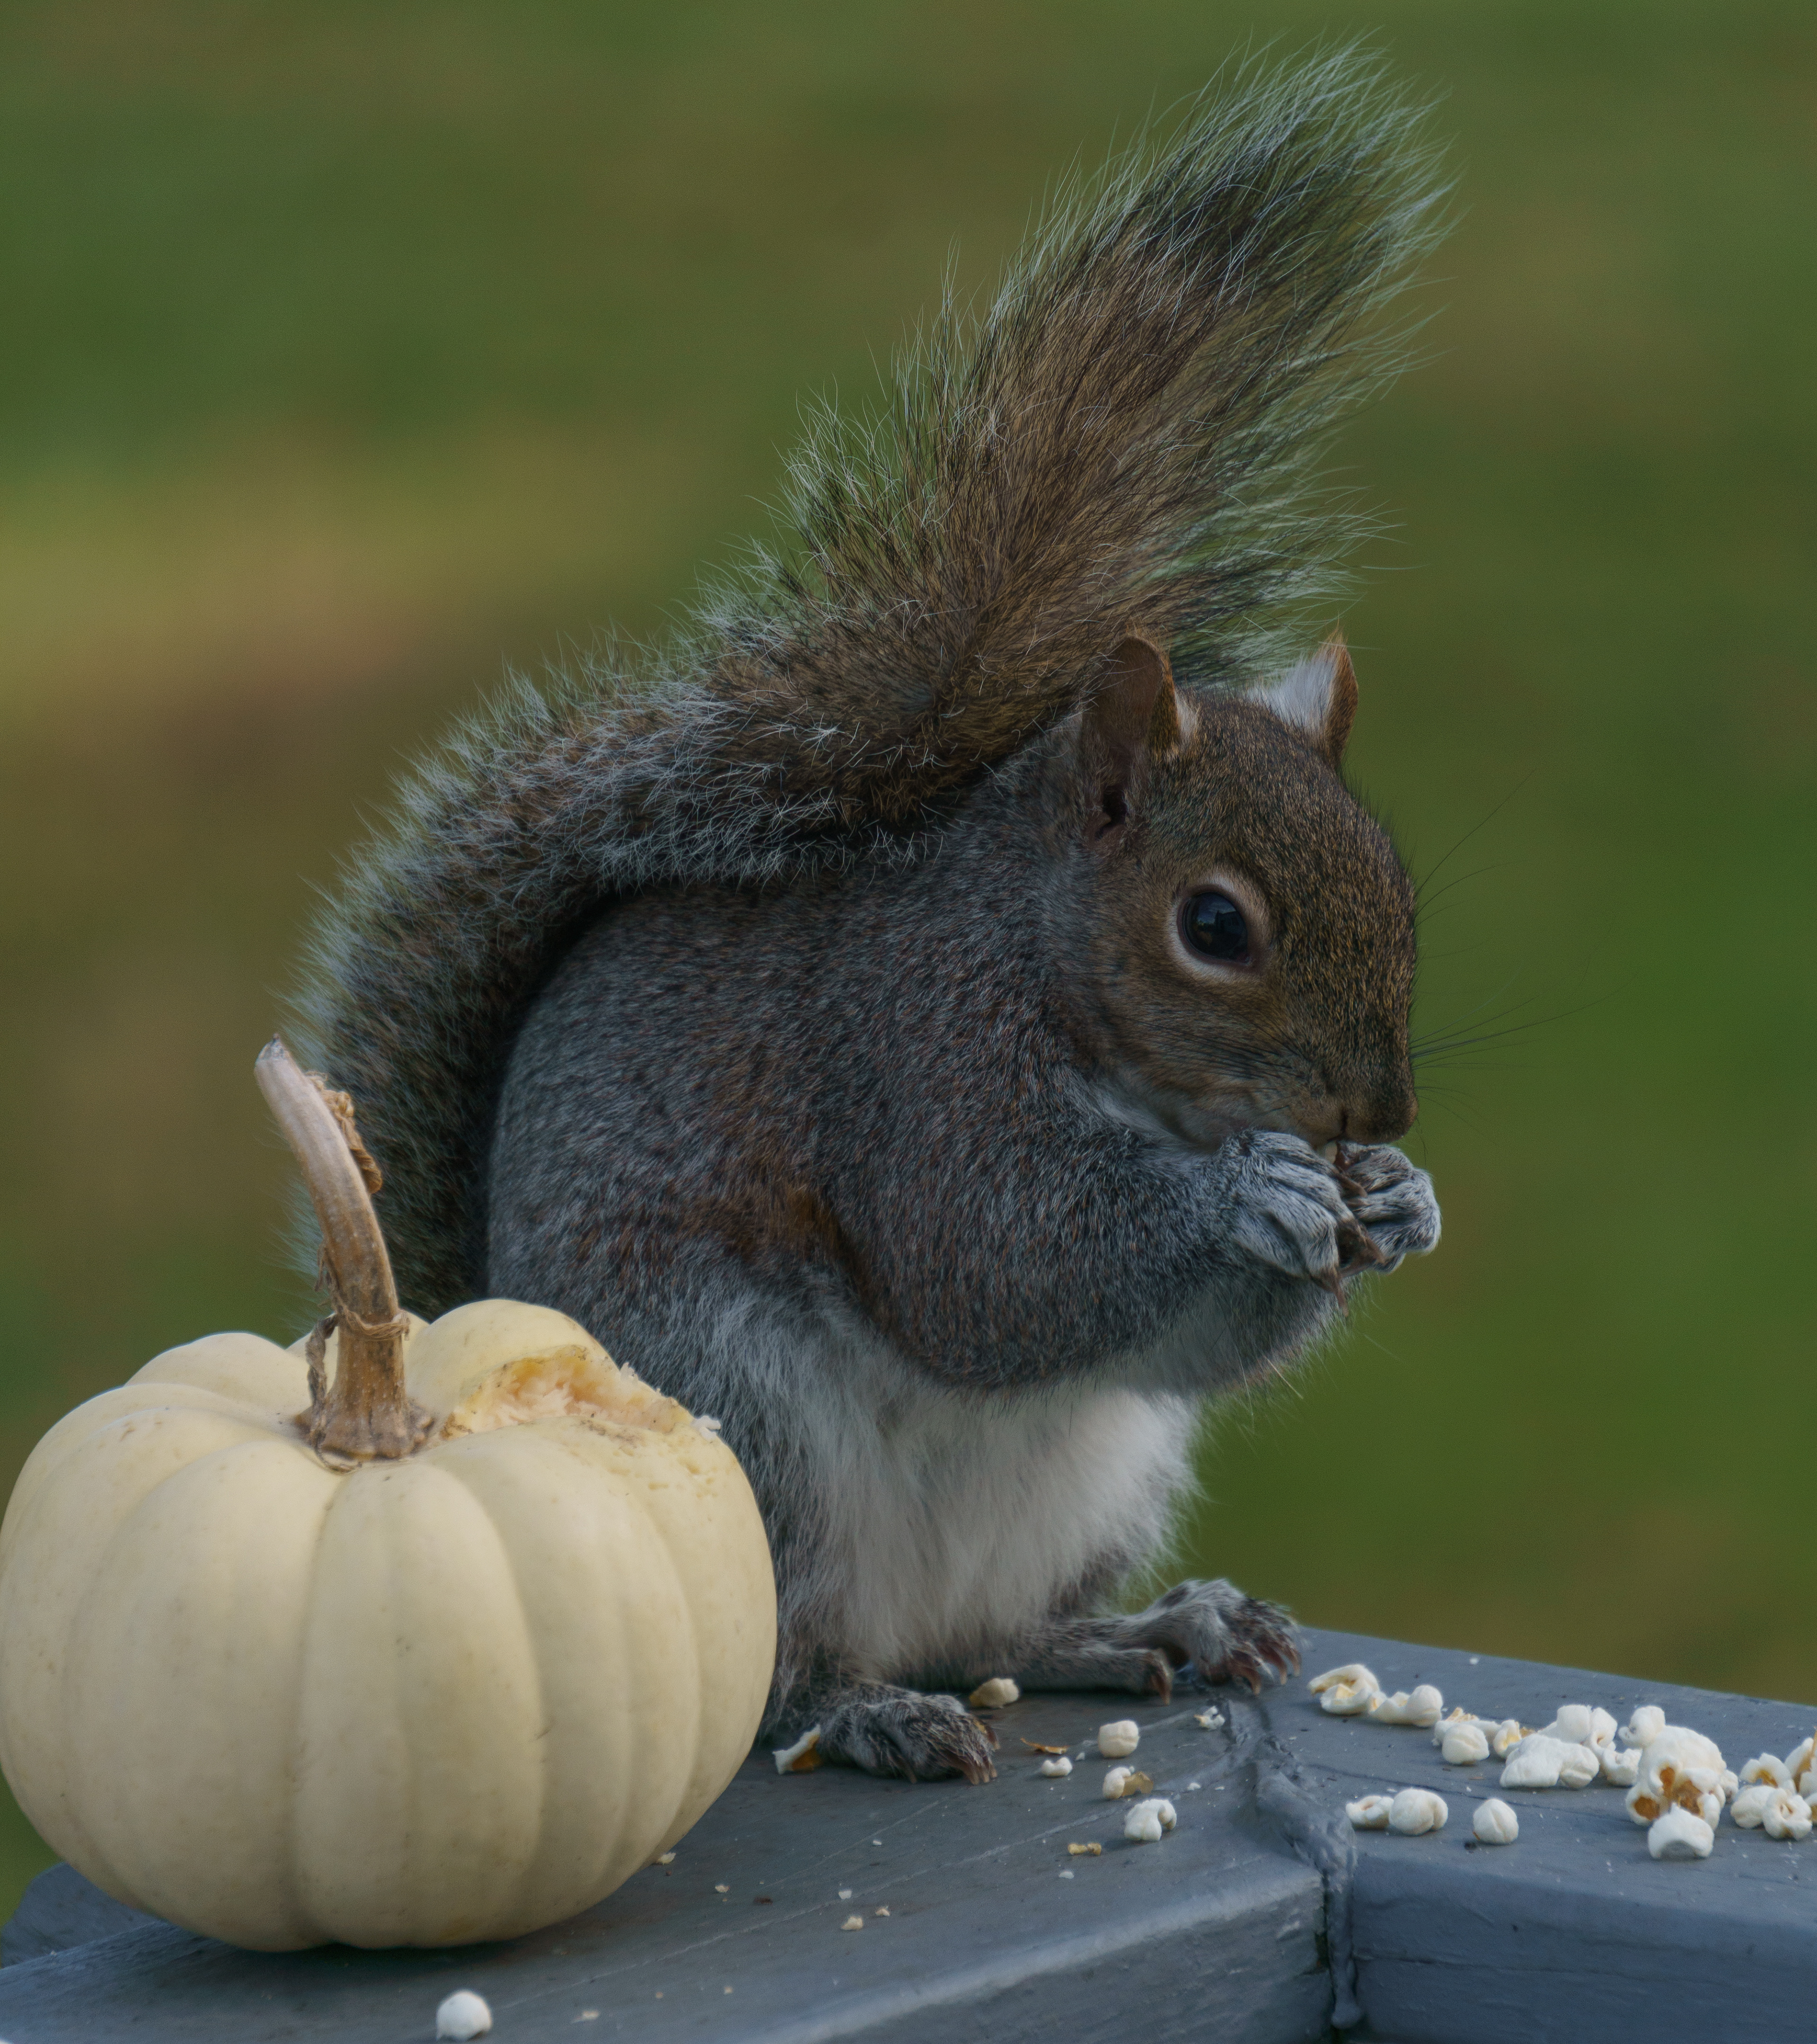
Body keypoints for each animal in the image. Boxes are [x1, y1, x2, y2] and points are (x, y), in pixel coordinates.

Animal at [297, 51, 1445, 1785]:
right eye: (1216, 924)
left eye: (1398, 892)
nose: (1372, 1112)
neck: (1047, 967)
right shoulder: (914, 1066)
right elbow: (994, 1261)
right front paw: (1246, 1192)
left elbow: (1177, 1334)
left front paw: (1393, 1199)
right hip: (746, 1425)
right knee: (802, 1667)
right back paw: (873, 1708)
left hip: (1102, 1472)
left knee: (1004, 1629)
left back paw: (1142, 1625)